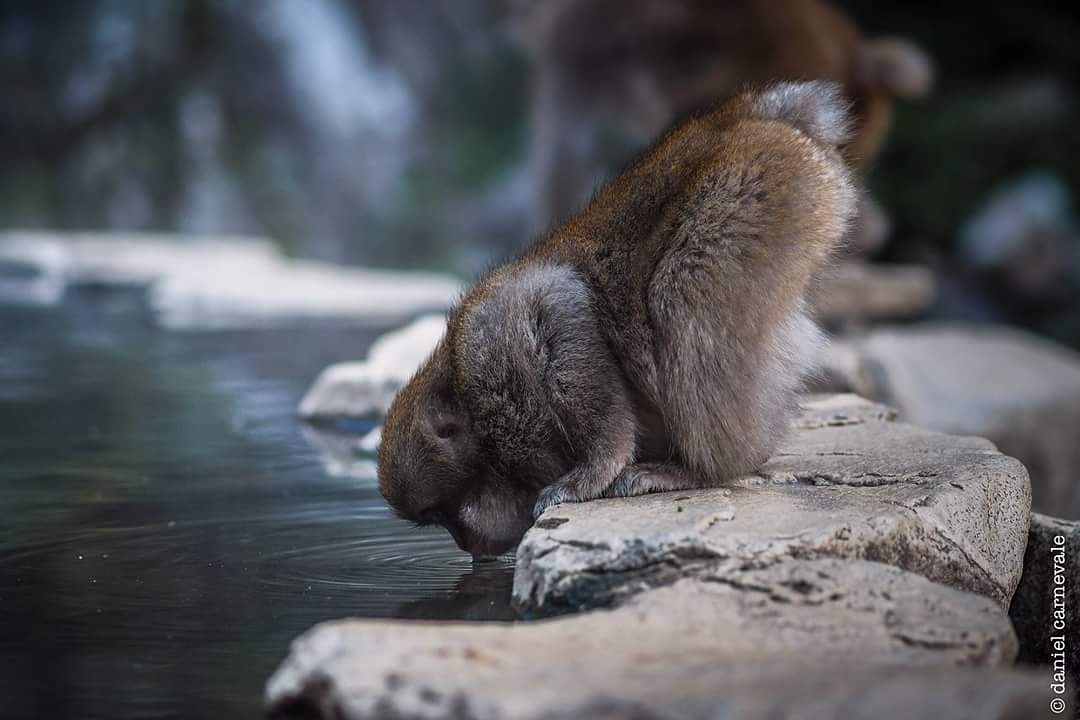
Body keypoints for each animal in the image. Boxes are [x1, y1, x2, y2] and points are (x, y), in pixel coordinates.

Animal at [378, 82, 856, 559]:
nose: (467, 544)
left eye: (442, 512)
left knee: (678, 298)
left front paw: (590, 474)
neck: (463, 390)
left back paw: (702, 470)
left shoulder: (498, 339)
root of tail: (748, 115)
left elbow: (566, 312)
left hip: (758, 187)